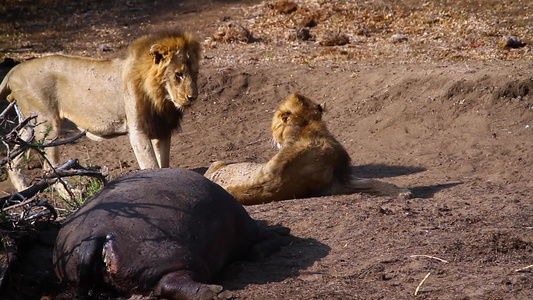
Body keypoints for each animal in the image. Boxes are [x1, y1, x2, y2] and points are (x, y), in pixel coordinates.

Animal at [0, 30, 200, 190]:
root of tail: (13, 71)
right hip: (47, 124)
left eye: (195, 74)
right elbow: (151, 164)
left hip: (29, 126)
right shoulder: (138, 130)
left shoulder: (162, 129)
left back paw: (23, 192)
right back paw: (72, 194)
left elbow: (164, 163)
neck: (161, 99)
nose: (193, 97)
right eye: (178, 75)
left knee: (15, 161)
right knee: (50, 169)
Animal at [205, 94, 412, 205]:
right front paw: (402, 192)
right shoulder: (336, 183)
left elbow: (372, 181)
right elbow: (372, 182)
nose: (273, 138)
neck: (306, 129)